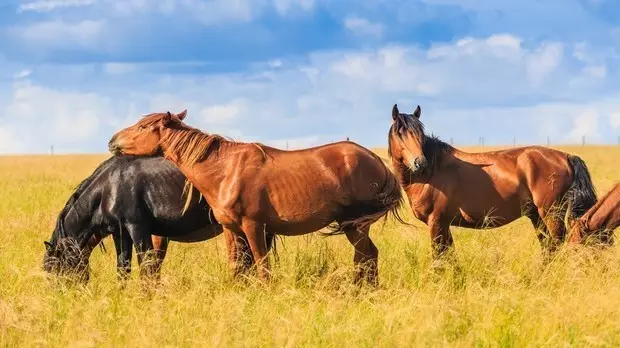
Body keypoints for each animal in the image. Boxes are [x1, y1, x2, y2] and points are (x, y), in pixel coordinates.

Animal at [41, 155, 268, 282]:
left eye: (56, 268)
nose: (60, 304)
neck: (108, 187)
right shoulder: (120, 234)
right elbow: (123, 268)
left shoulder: (137, 228)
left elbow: (147, 267)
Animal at [108, 109, 406, 286]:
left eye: (144, 126)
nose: (112, 141)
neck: (224, 170)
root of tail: (375, 160)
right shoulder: (231, 229)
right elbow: (237, 266)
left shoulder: (254, 226)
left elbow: (262, 265)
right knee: (366, 257)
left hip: (355, 226)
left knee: (367, 256)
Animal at [388, 104, 596, 260]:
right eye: (400, 134)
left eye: (419, 134)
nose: (420, 162)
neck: (432, 172)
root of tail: (566, 156)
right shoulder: (444, 224)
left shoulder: (436, 222)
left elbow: (440, 259)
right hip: (537, 216)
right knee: (548, 247)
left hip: (551, 214)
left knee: (555, 244)